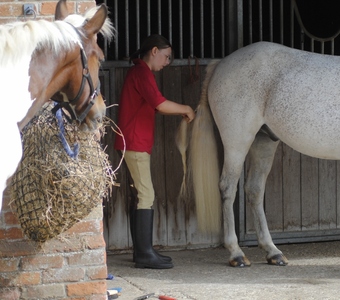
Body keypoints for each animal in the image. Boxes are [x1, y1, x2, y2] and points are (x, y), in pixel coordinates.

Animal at [177, 41, 340, 268]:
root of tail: (222, 64)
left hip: (264, 142)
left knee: (254, 189)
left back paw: (273, 252)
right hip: (237, 141)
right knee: (228, 188)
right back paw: (236, 253)